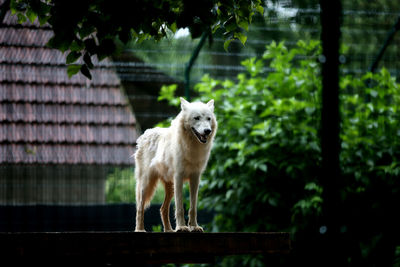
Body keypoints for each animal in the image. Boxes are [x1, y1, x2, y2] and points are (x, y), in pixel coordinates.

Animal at [134, 97, 217, 232]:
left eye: (208, 119)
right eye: (197, 118)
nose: (207, 131)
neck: (192, 147)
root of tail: (145, 133)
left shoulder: (195, 178)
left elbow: (193, 207)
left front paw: (194, 226)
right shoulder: (179, 177)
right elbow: (179, 207)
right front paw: (182, 227)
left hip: (170, 187)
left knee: (163, 208)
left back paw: (169, 230)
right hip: (146, 184)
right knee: (140, 207)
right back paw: (140, 229)